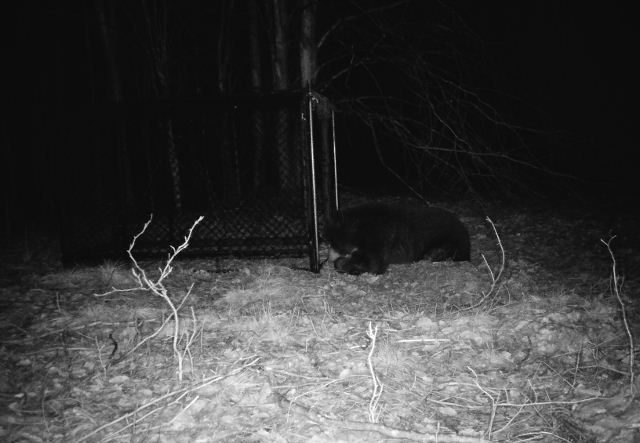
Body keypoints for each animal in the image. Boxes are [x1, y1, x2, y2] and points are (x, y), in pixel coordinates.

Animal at [324, 204, 470, 274]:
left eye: (332, 242)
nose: (328, 257)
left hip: (451, 240)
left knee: (437, 252)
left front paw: (343, 264)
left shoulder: (380, 235)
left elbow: (374, 262)